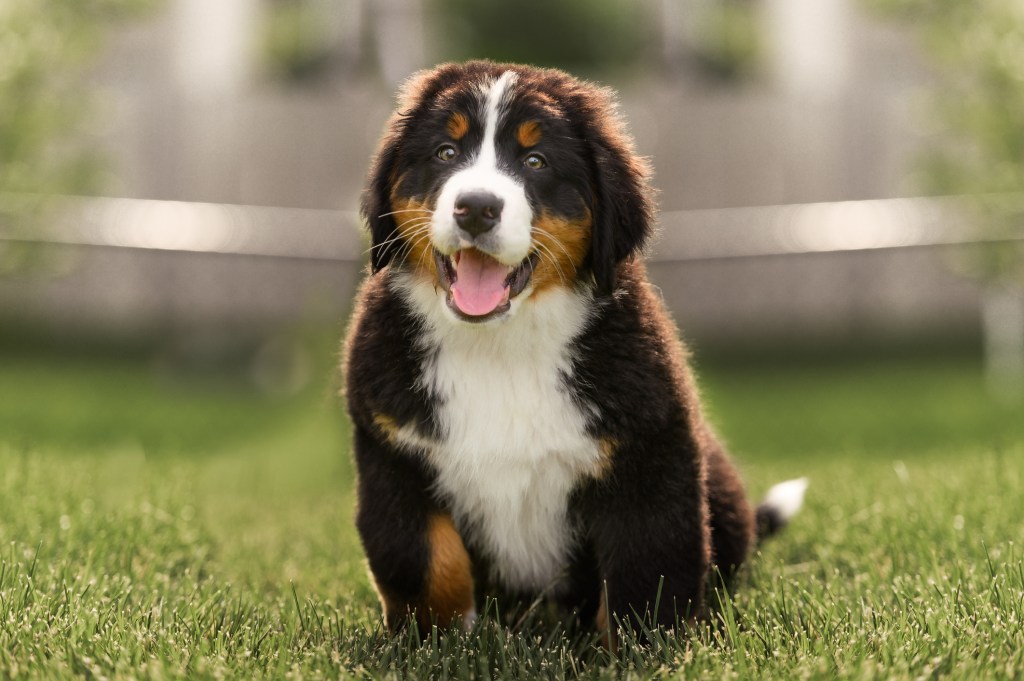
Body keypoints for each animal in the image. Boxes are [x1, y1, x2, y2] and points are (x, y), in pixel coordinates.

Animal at [344, 58, 806, 639]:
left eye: (536, 161)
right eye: (445, 153)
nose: (476, 208)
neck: (502, 346)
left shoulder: (649, 454)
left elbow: (644, 575)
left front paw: (644, 648)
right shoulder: (393, 453)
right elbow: (423, 560)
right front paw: (436, 641)